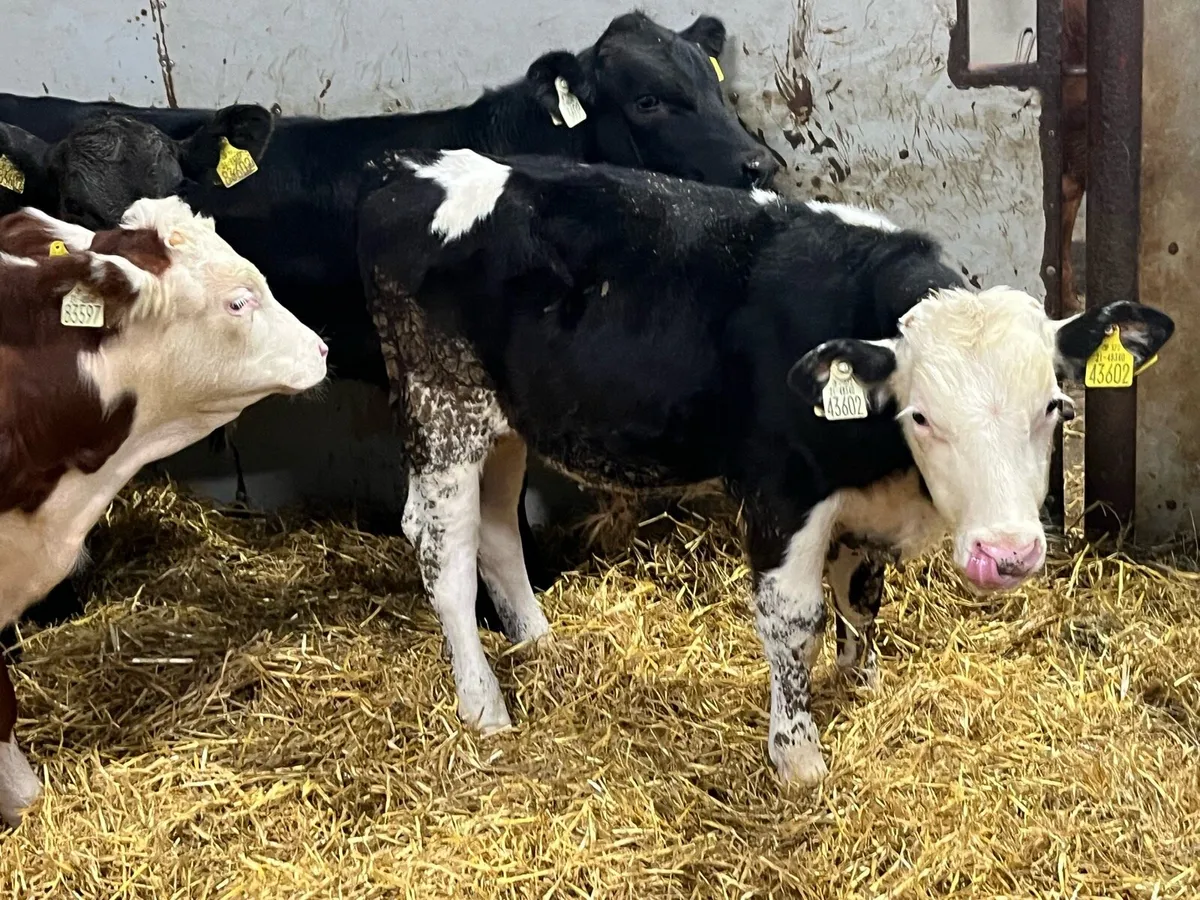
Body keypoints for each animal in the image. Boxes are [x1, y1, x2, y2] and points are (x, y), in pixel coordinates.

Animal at [354, 149, 1174, 785]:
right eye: (921, 417)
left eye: (1054, 406)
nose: (1008, 554)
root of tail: (408, 172)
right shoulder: (782, 495)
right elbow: (795, 619)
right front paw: (798, 756)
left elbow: (861, 595)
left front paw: (860, 682)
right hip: (441, 408)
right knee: (443, 551)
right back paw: (483, 704)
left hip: (508, 420)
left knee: (496, 532)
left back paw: (540, 644)